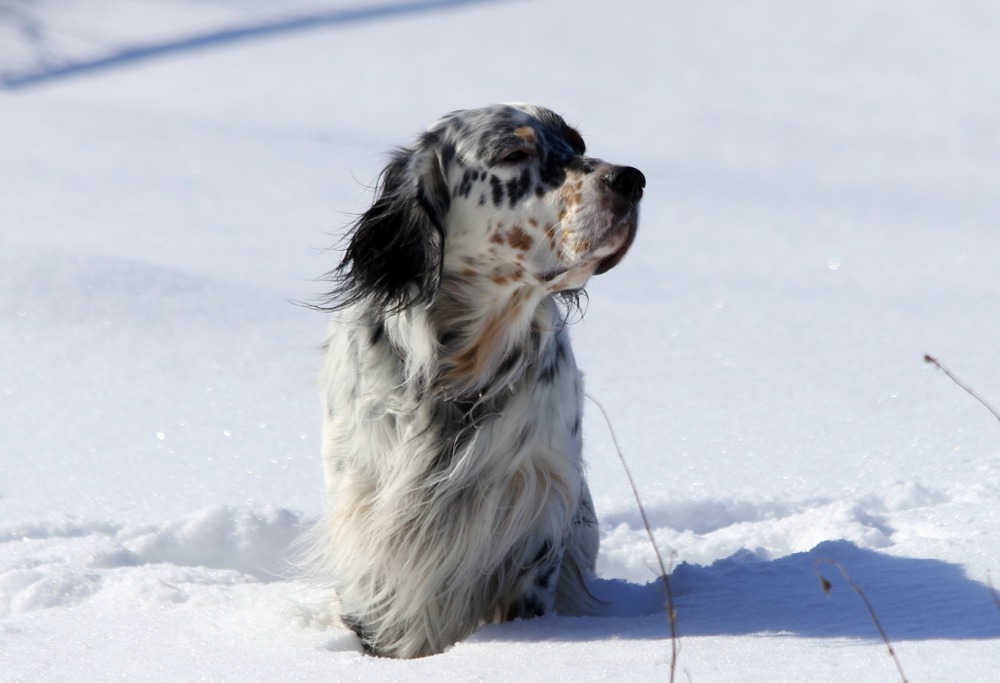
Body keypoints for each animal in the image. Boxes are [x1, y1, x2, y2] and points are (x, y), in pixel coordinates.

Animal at [308, 104, 644, 660]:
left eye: (576, 143)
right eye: (513, 152)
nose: (631, 179)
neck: (463, 367)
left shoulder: (535, 517)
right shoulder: (367, 519)